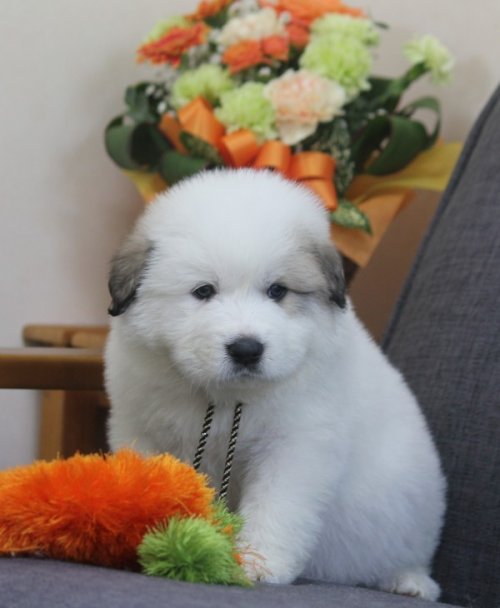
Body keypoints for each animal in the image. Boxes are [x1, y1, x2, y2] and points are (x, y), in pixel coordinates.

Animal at [105, 168, 445, 599]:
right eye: (203, 291)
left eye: (278, 291)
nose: (247, 349)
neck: (228, 396)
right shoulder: (142, 428)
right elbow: (150, 483)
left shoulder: (297, 446)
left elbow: (277, 506)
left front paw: (258, 562)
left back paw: (409, 582)